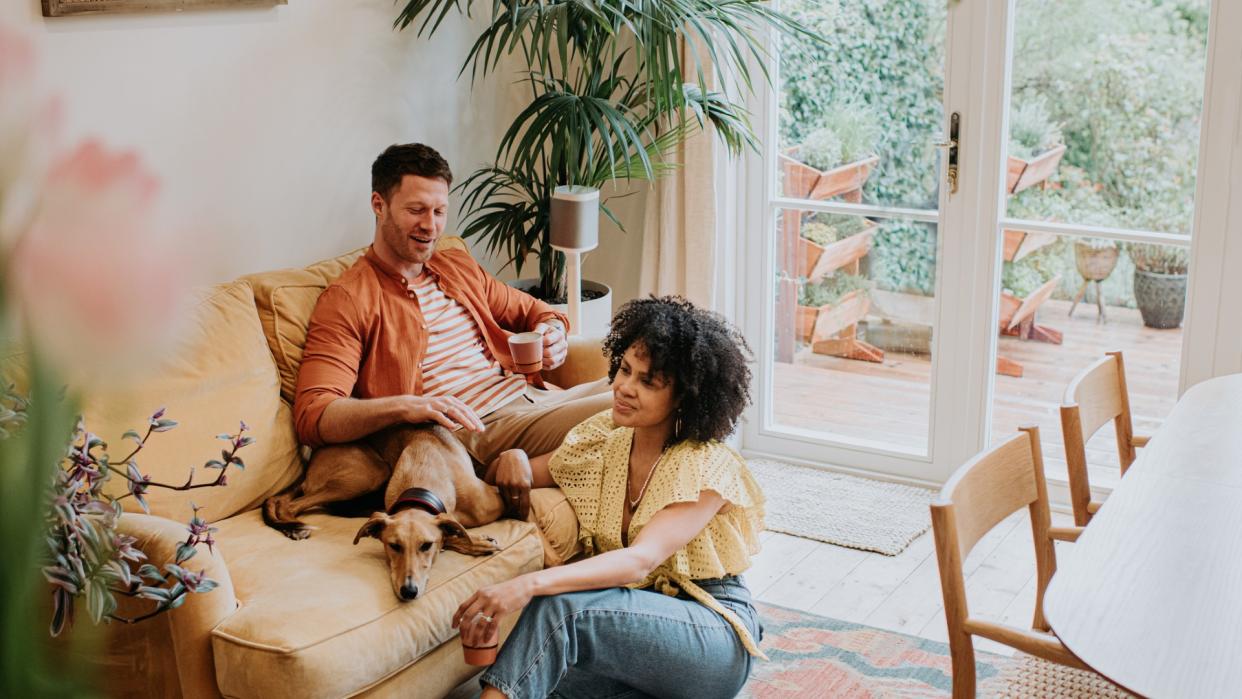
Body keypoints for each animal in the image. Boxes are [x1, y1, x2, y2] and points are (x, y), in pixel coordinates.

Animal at [262, 424, 504, 603]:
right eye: (393, 546)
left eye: (426, 545)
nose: (408, 591)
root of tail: (309, 466)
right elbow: (453, 533)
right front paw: (477, 542)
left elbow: (449, 532)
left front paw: (473, 540)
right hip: (369, 474)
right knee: (289, 505)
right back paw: (294, 527)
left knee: (284, 501)